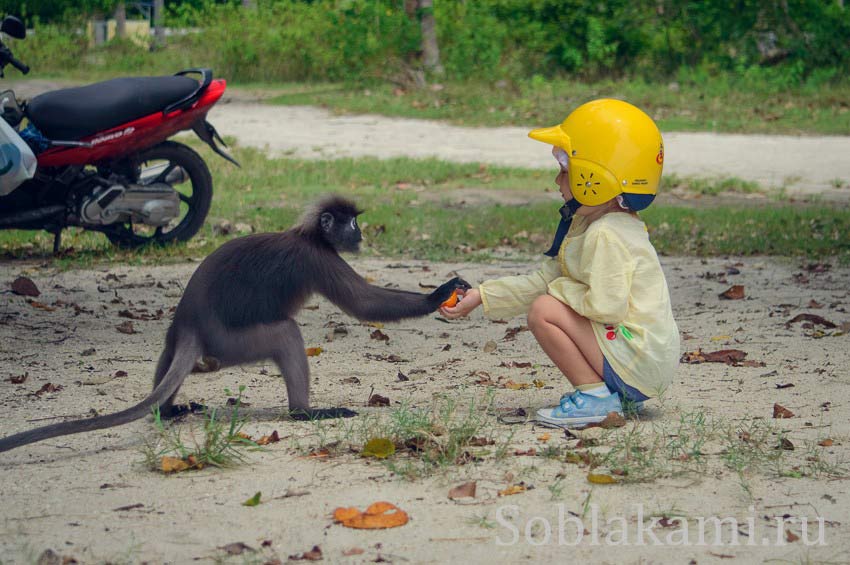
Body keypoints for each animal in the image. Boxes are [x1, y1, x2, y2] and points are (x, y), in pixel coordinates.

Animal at [0, 196, 470, 452]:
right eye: (352, 221)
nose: (360, 234)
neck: (308, 236)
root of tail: (192, 324)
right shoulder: (318, 259)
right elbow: (364, 303)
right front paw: (438, 294)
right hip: (233, 344)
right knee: (286, 332)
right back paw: (304, 412)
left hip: (182, 340)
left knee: (168, 359)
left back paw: (168, 410)